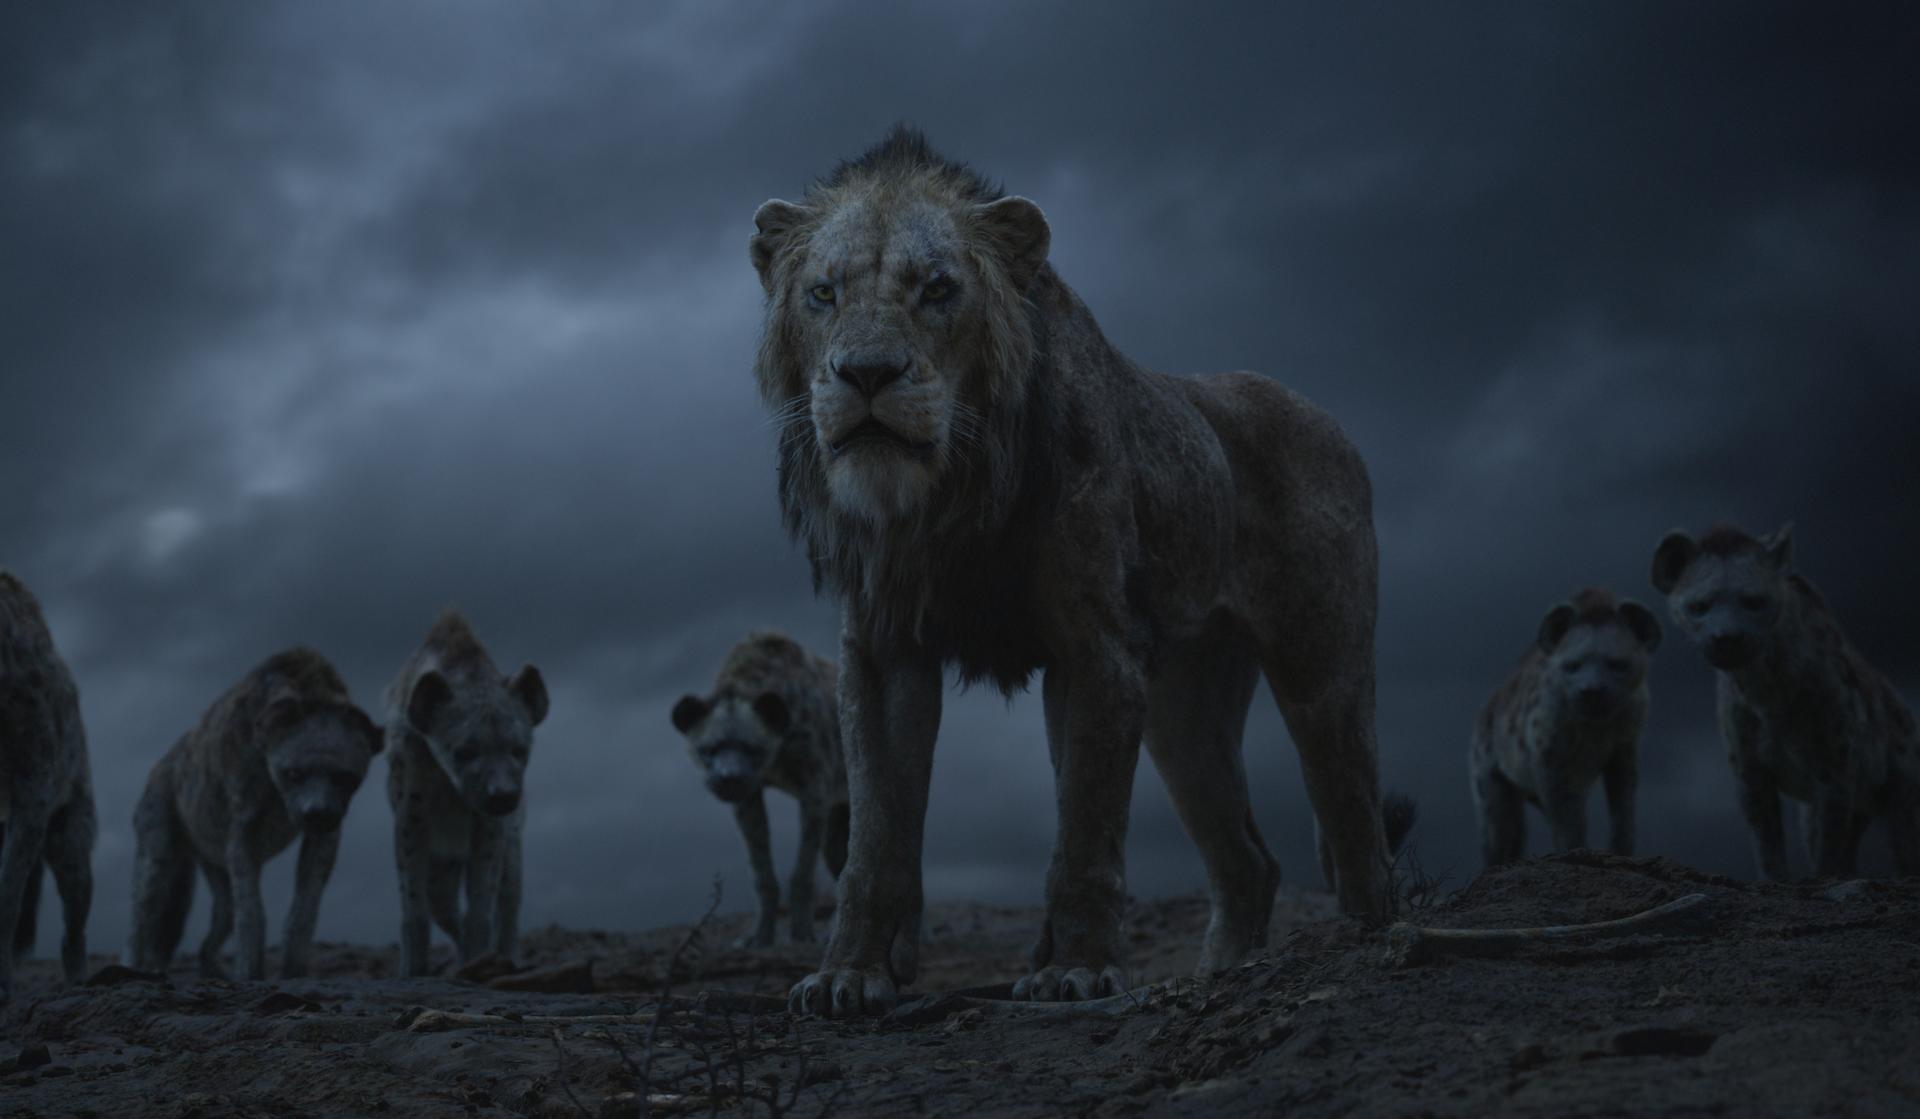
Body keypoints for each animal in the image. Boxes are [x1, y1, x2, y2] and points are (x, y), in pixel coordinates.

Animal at [750, 128, 1396, 1015]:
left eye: (938, 289)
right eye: (822, 292)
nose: (867, 373)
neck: (947, 495)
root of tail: (1331, 421)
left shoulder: (1096, 648)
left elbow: (1086, 823)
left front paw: (1077, 970)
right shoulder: (881, 653)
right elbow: (875, 834)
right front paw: (849, 972)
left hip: (1319, 669)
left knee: (1353, 812)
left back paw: (1365, 939)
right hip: (1183, 711)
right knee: (1249, 861)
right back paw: (1222, 972)